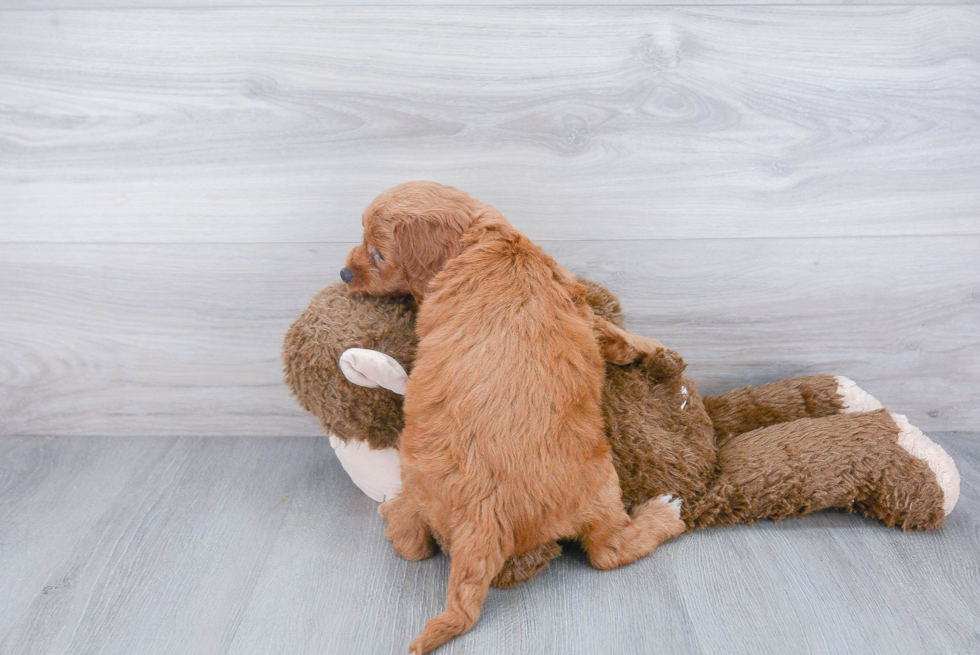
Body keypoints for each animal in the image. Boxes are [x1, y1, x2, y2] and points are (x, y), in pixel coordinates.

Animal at [340, 181, 684, 655]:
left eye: (377, 254)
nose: (344, 274)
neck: (482, 242)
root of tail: (483, 519)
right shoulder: (577, 303)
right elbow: (613, 333)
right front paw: (653, 347)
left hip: (417, 479)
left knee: (412, 542)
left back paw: (392, 514)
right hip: (601, 485)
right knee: (607, 551)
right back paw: (663, 514)